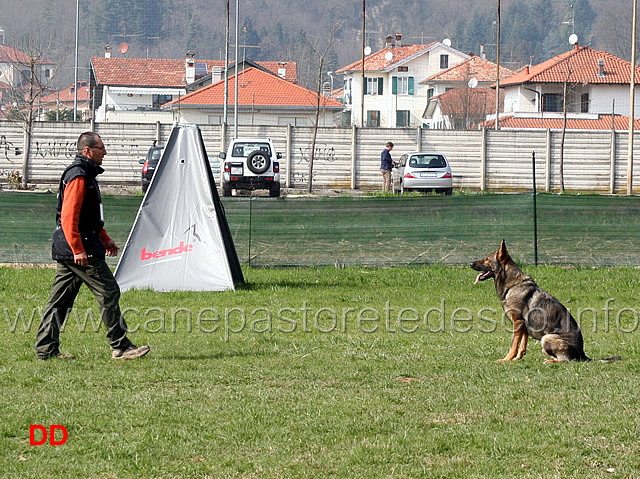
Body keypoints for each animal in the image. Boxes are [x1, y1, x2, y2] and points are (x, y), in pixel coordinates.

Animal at [470, 240, 620, 364]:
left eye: (487, 259)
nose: (470, 263)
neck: (513, 285)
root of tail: (583, 355)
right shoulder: (523, 325)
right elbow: (522, 344)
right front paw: (518, 358)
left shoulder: (518, 323)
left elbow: (513, 345)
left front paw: (506, 359)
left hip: (547, 338)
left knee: (566, 360)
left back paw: (551, 361)